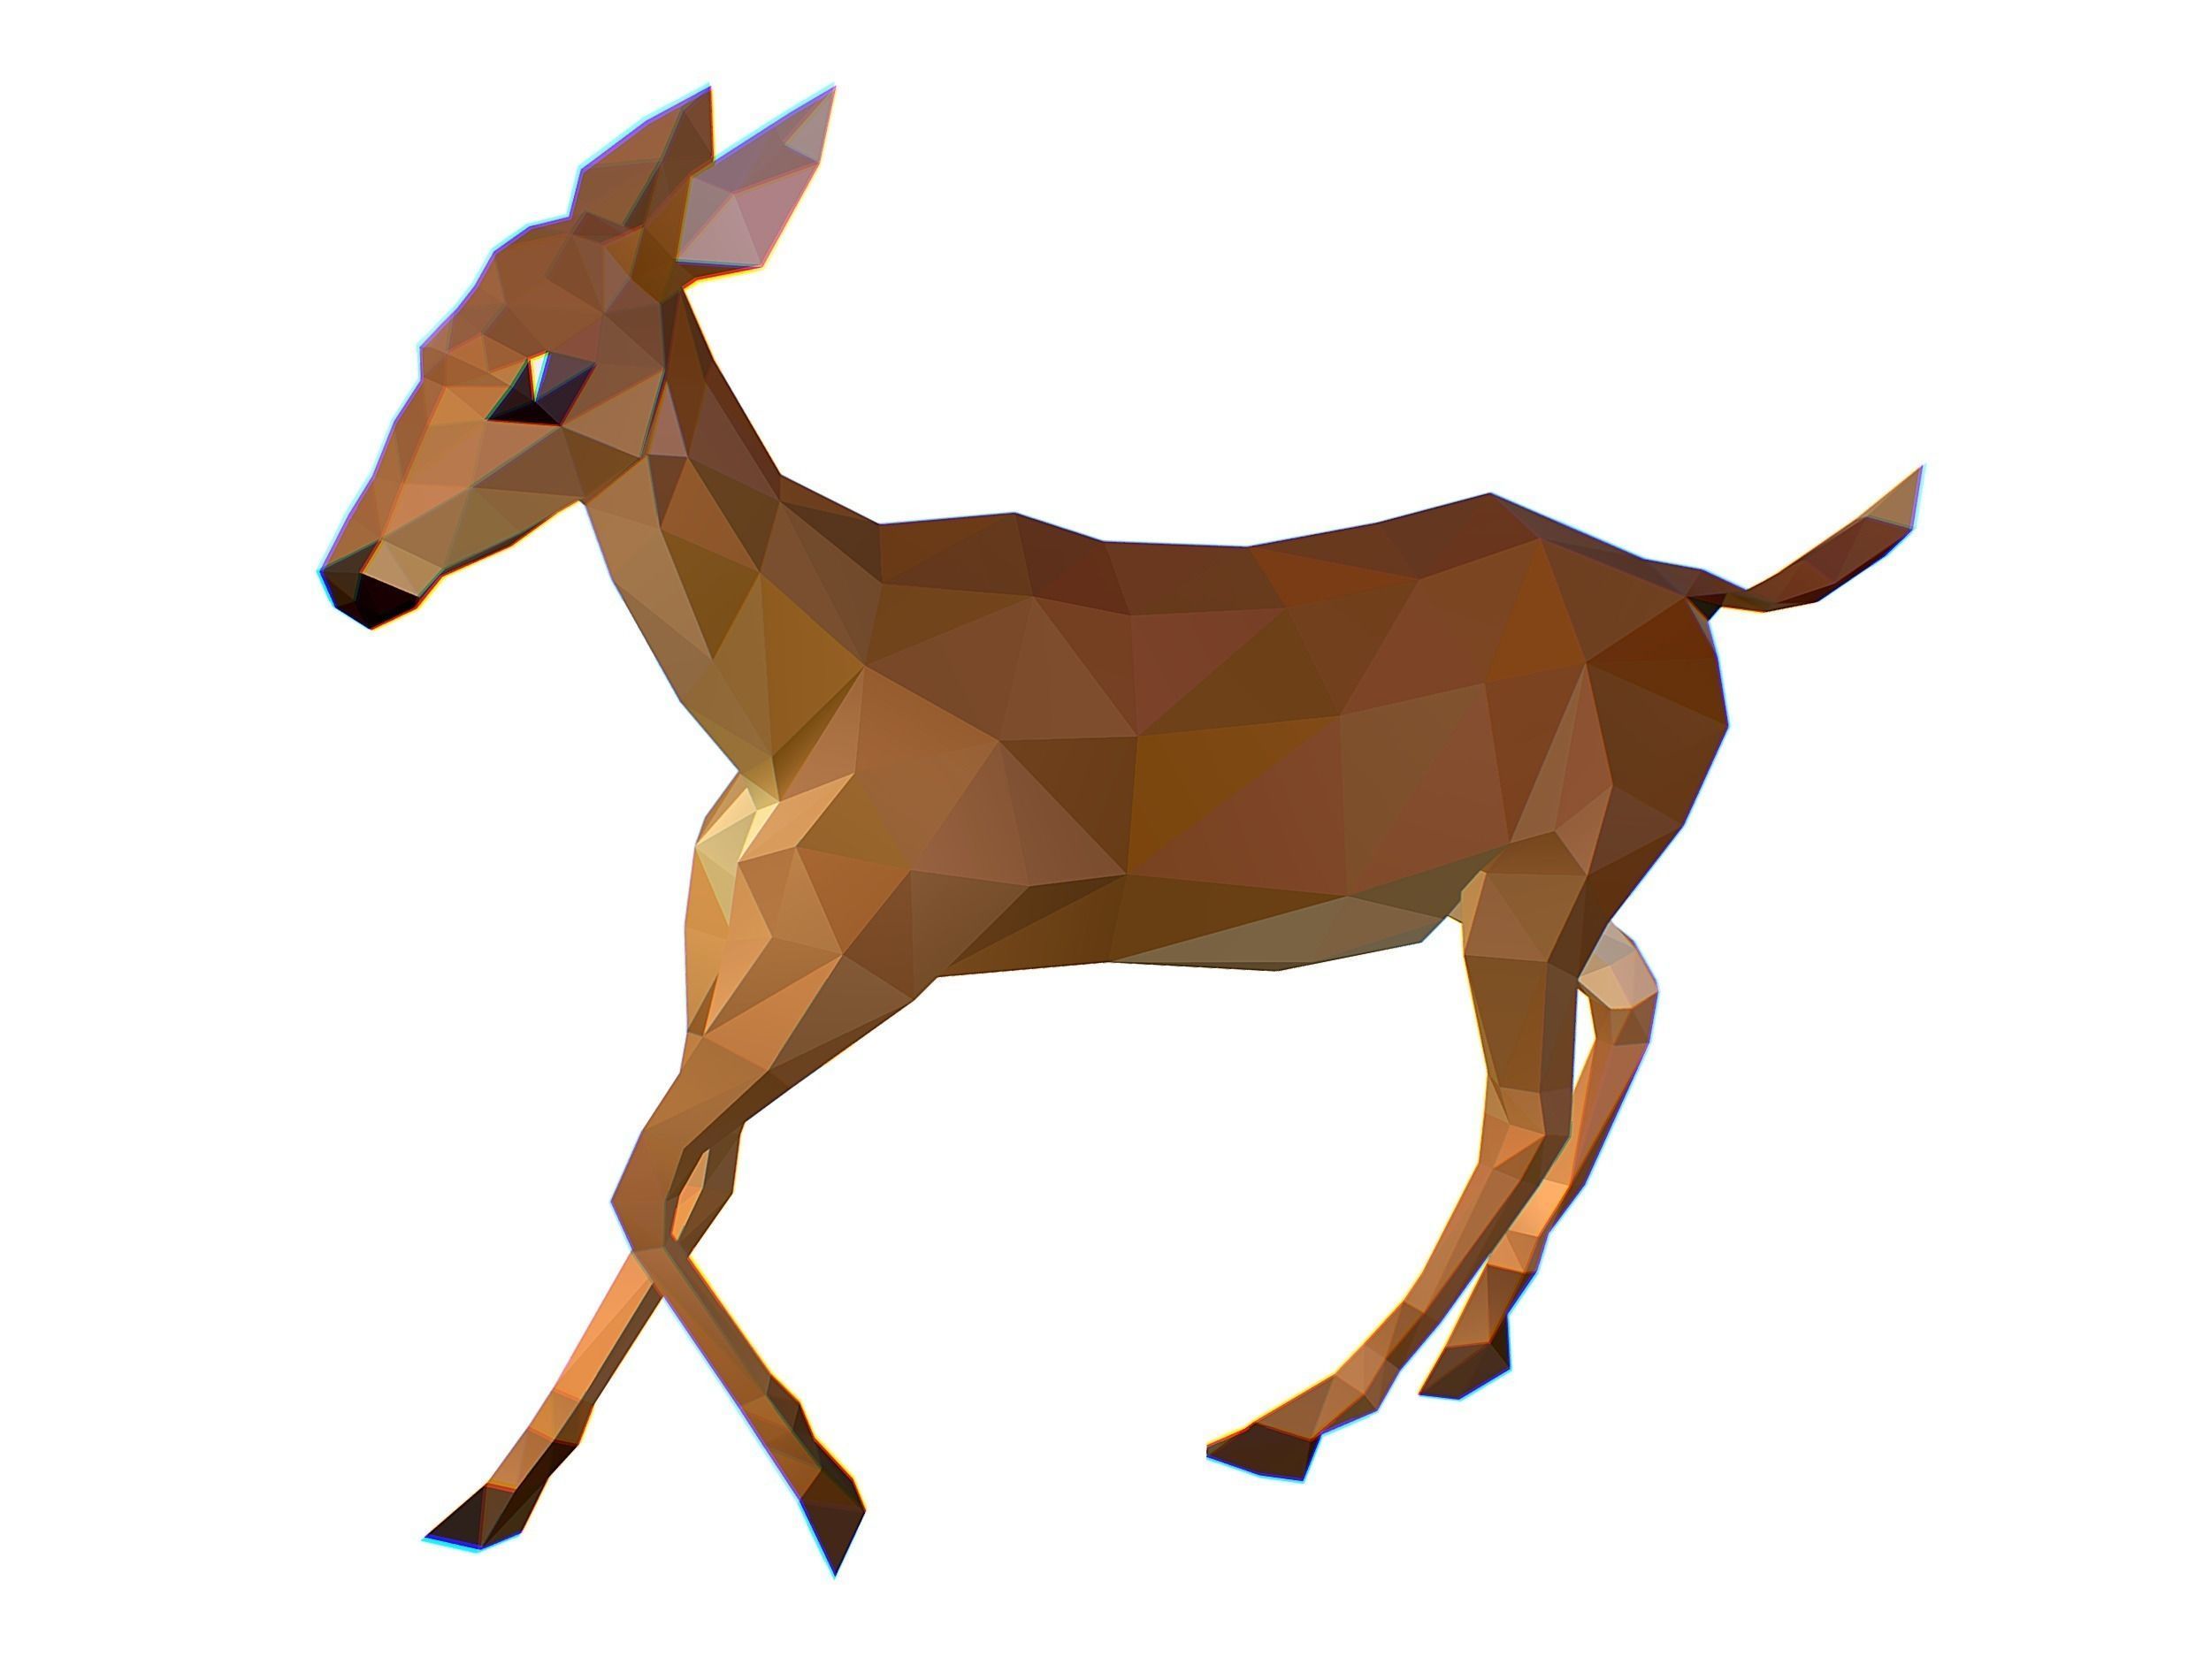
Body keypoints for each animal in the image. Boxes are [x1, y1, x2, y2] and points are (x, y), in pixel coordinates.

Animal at [319, 86, 1921, 1573]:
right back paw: (1469, 1355)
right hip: (1539, 885)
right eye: (430, 339)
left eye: (544, 377)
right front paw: (493, 1497)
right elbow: (688, 1183)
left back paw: (1294, 1419)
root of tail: (1699, 592)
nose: (356, 580)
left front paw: (829, 1495)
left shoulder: (870, 949)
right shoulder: (741, 961)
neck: (806, 691)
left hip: (1539, 882)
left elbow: (647, 1175)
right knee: (1635, 1009)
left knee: (1517, 1114)